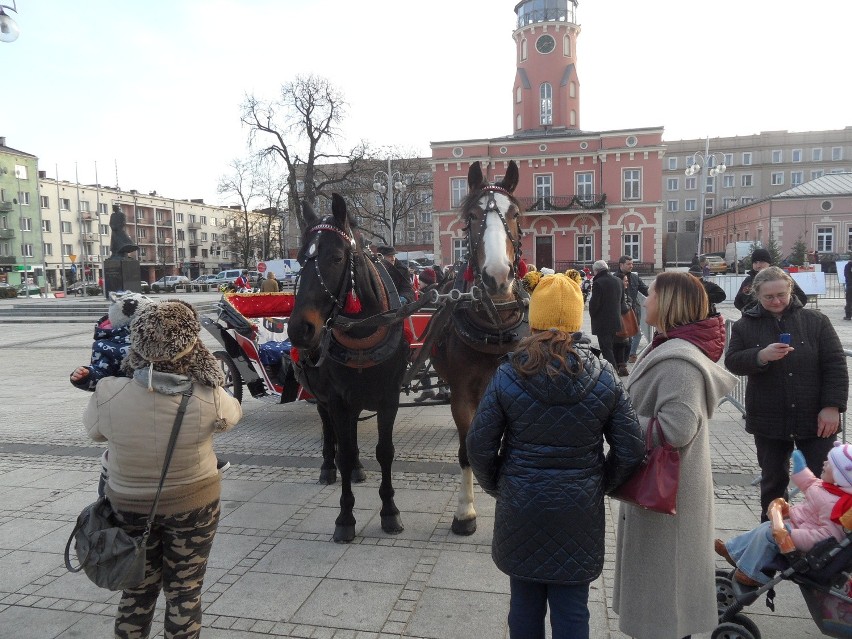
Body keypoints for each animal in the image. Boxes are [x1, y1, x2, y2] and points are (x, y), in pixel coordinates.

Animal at [286, 194, 406, 540]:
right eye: (300, 259)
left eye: (337, 257)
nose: (300, 329)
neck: (363, 332)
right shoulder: (338, 399)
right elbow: (343, 451)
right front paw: (345, 517)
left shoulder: (389, 398)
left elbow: (384, 451)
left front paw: (389, 511)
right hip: (324, 396)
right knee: (330, 430)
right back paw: (329, 468)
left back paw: (357, 470)